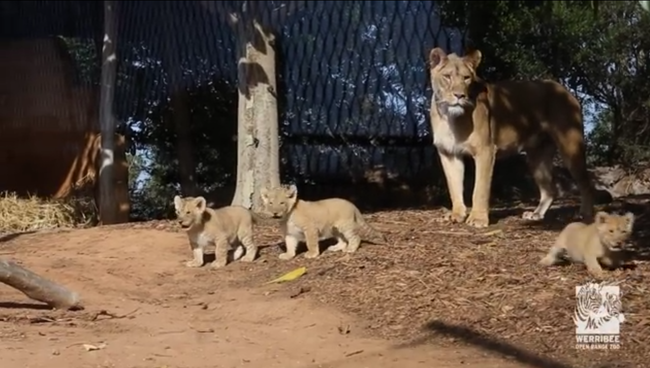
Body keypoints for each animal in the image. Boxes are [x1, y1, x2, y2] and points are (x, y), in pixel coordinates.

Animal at [426, 46, 592, 227]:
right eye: (447, 76)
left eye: (466, 78)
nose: (459, 96)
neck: (448, 116)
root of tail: (563, 89)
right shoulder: (449, 153)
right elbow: (454, 187)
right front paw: (456, 215)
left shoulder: (485, 150)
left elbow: (480, 188)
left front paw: (478, 219)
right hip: (536, 156)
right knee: (550, 189)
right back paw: (536, 215)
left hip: (570, 146)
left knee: (585, 182)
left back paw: (585, 214)